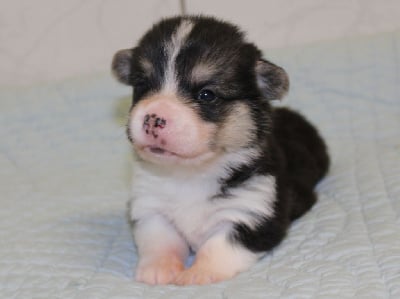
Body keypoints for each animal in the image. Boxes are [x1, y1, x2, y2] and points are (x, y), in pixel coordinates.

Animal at [111, 15, 328, 288]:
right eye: (142, 85)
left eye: (206, 95)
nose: (153, 118)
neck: (189, 174)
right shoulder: (148, 205)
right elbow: (159, 239)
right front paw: (159, 269)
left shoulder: (252, 212)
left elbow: (218, 246)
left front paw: (198, 273)